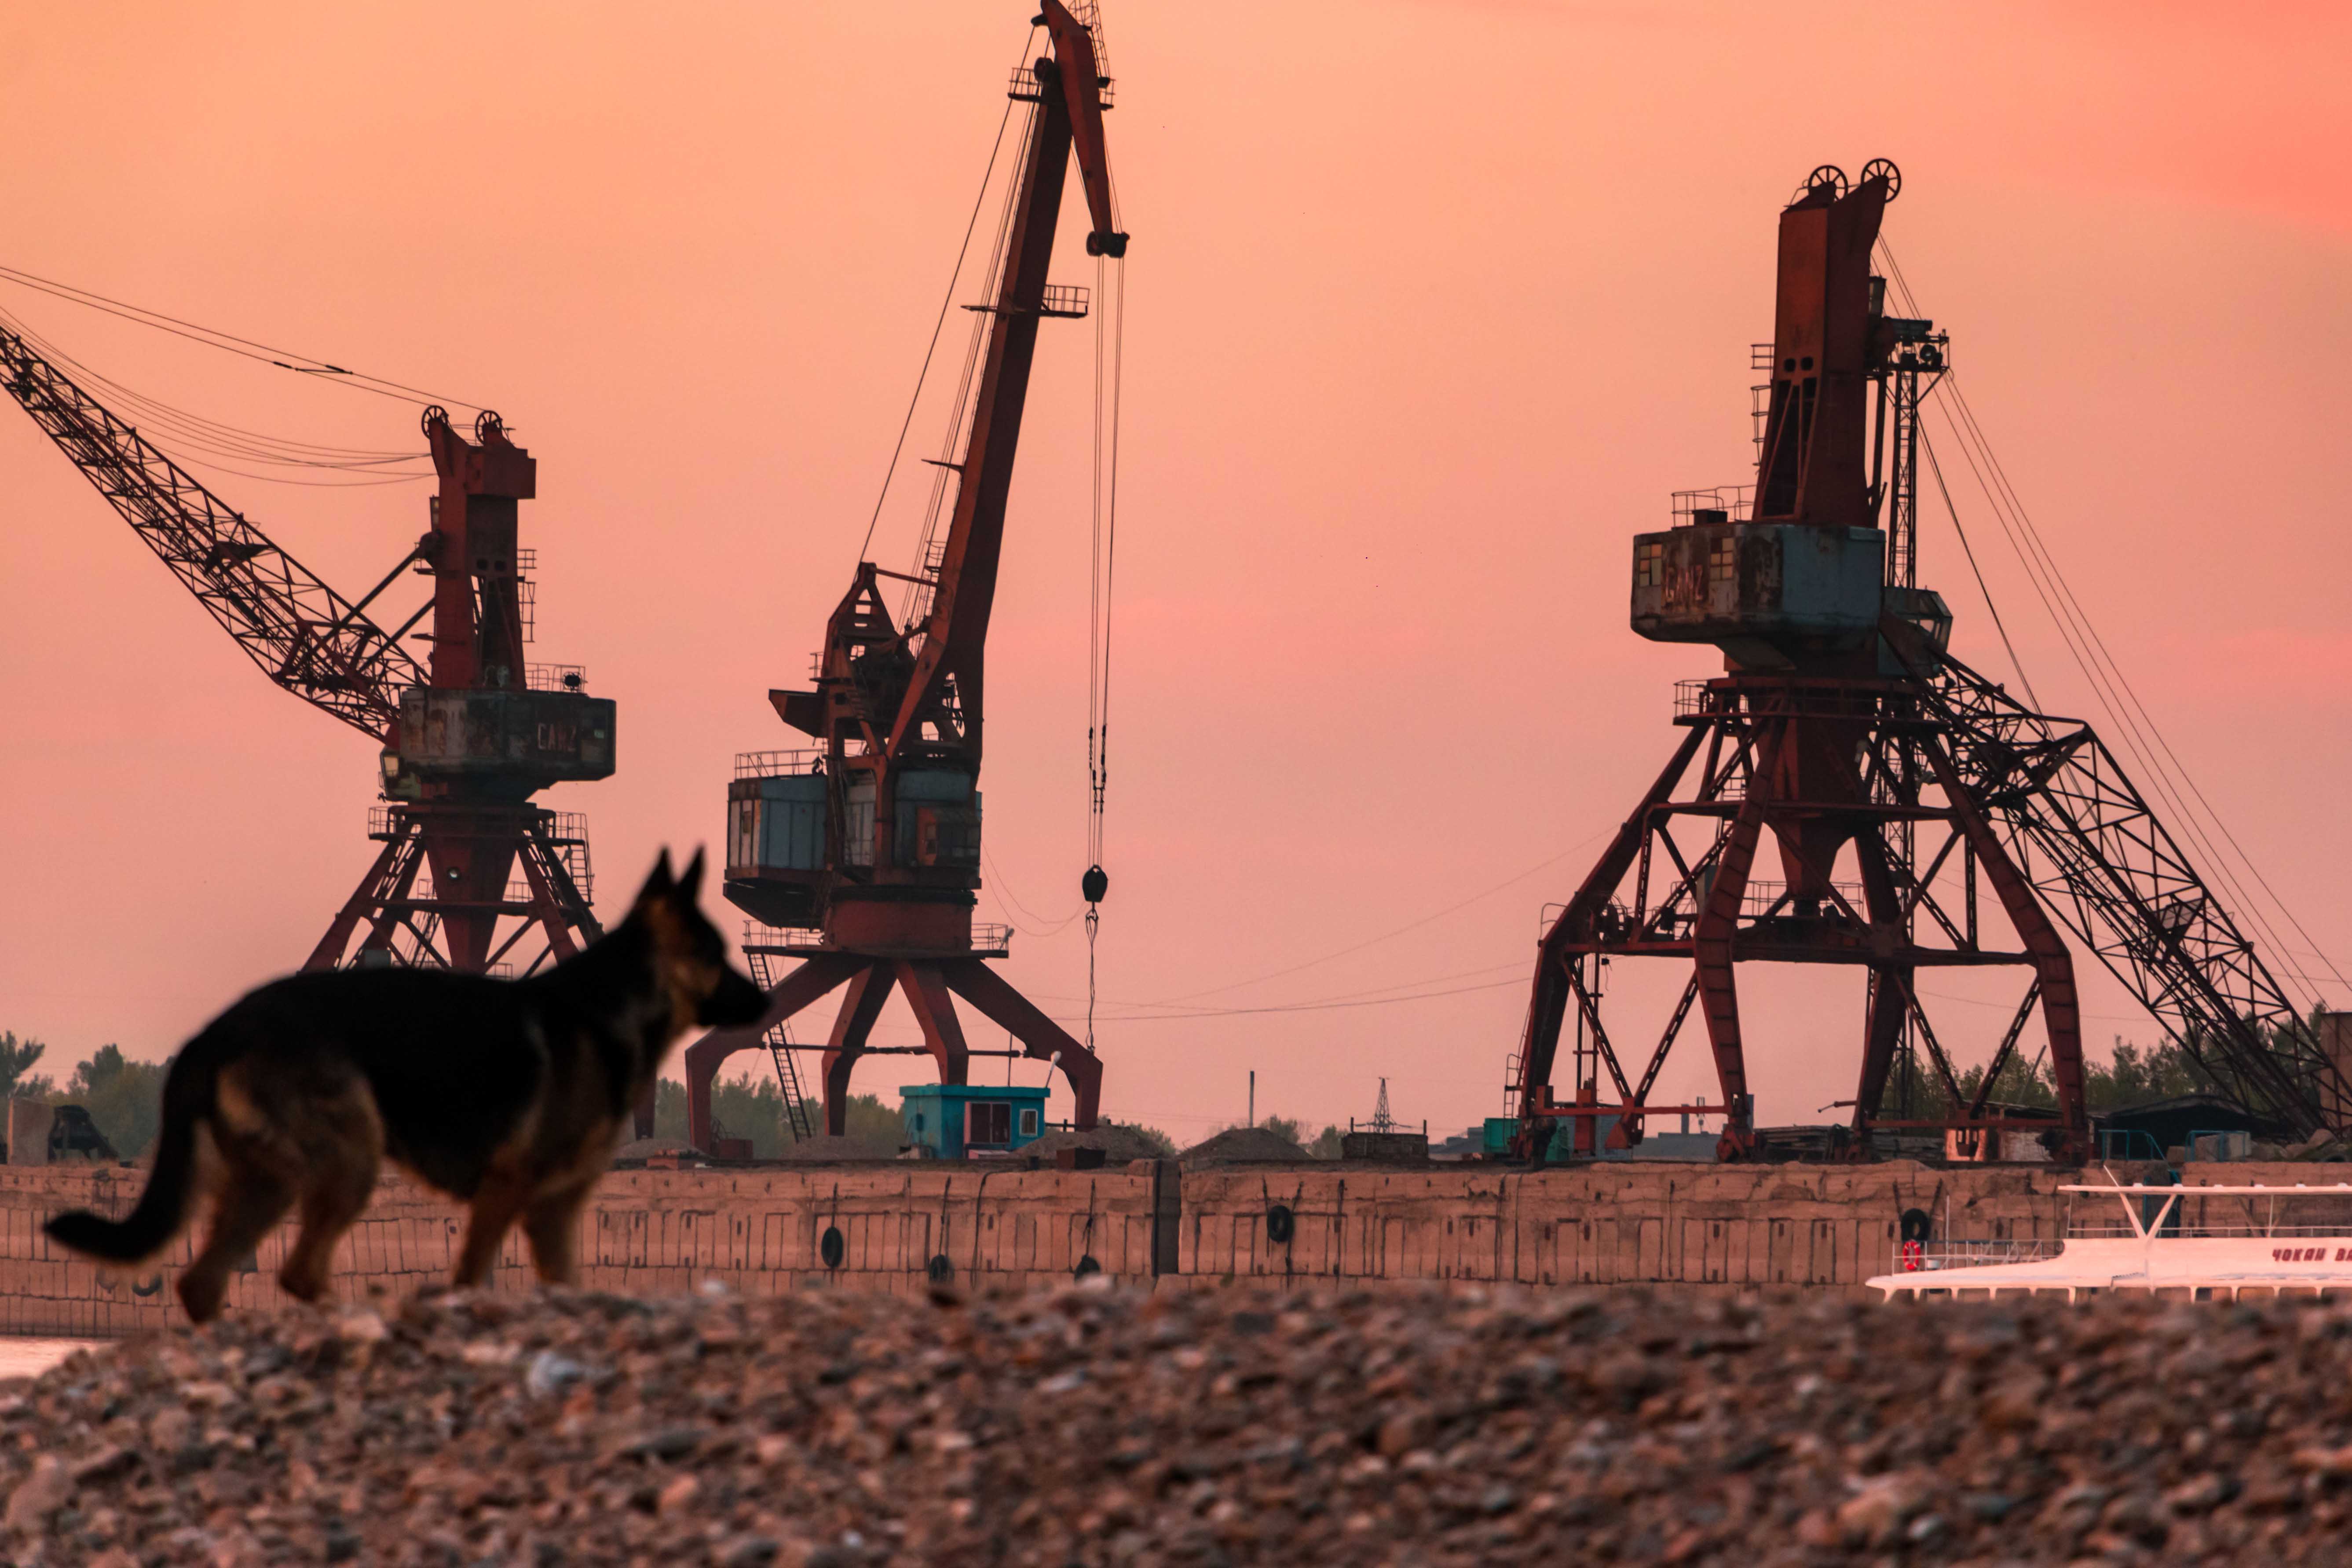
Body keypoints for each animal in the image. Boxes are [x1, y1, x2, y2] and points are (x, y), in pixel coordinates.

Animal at [43, 851, 762, 1316]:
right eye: (717, 953)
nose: (761, 1001)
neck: (604, 1008)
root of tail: (216, 1030)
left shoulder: (554, 1210)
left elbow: (566, 1286)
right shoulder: (508, 1189)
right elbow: (472, 1277)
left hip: (270, 1179)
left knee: (206, 1281)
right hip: (345, 1160)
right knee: (291, 1272)